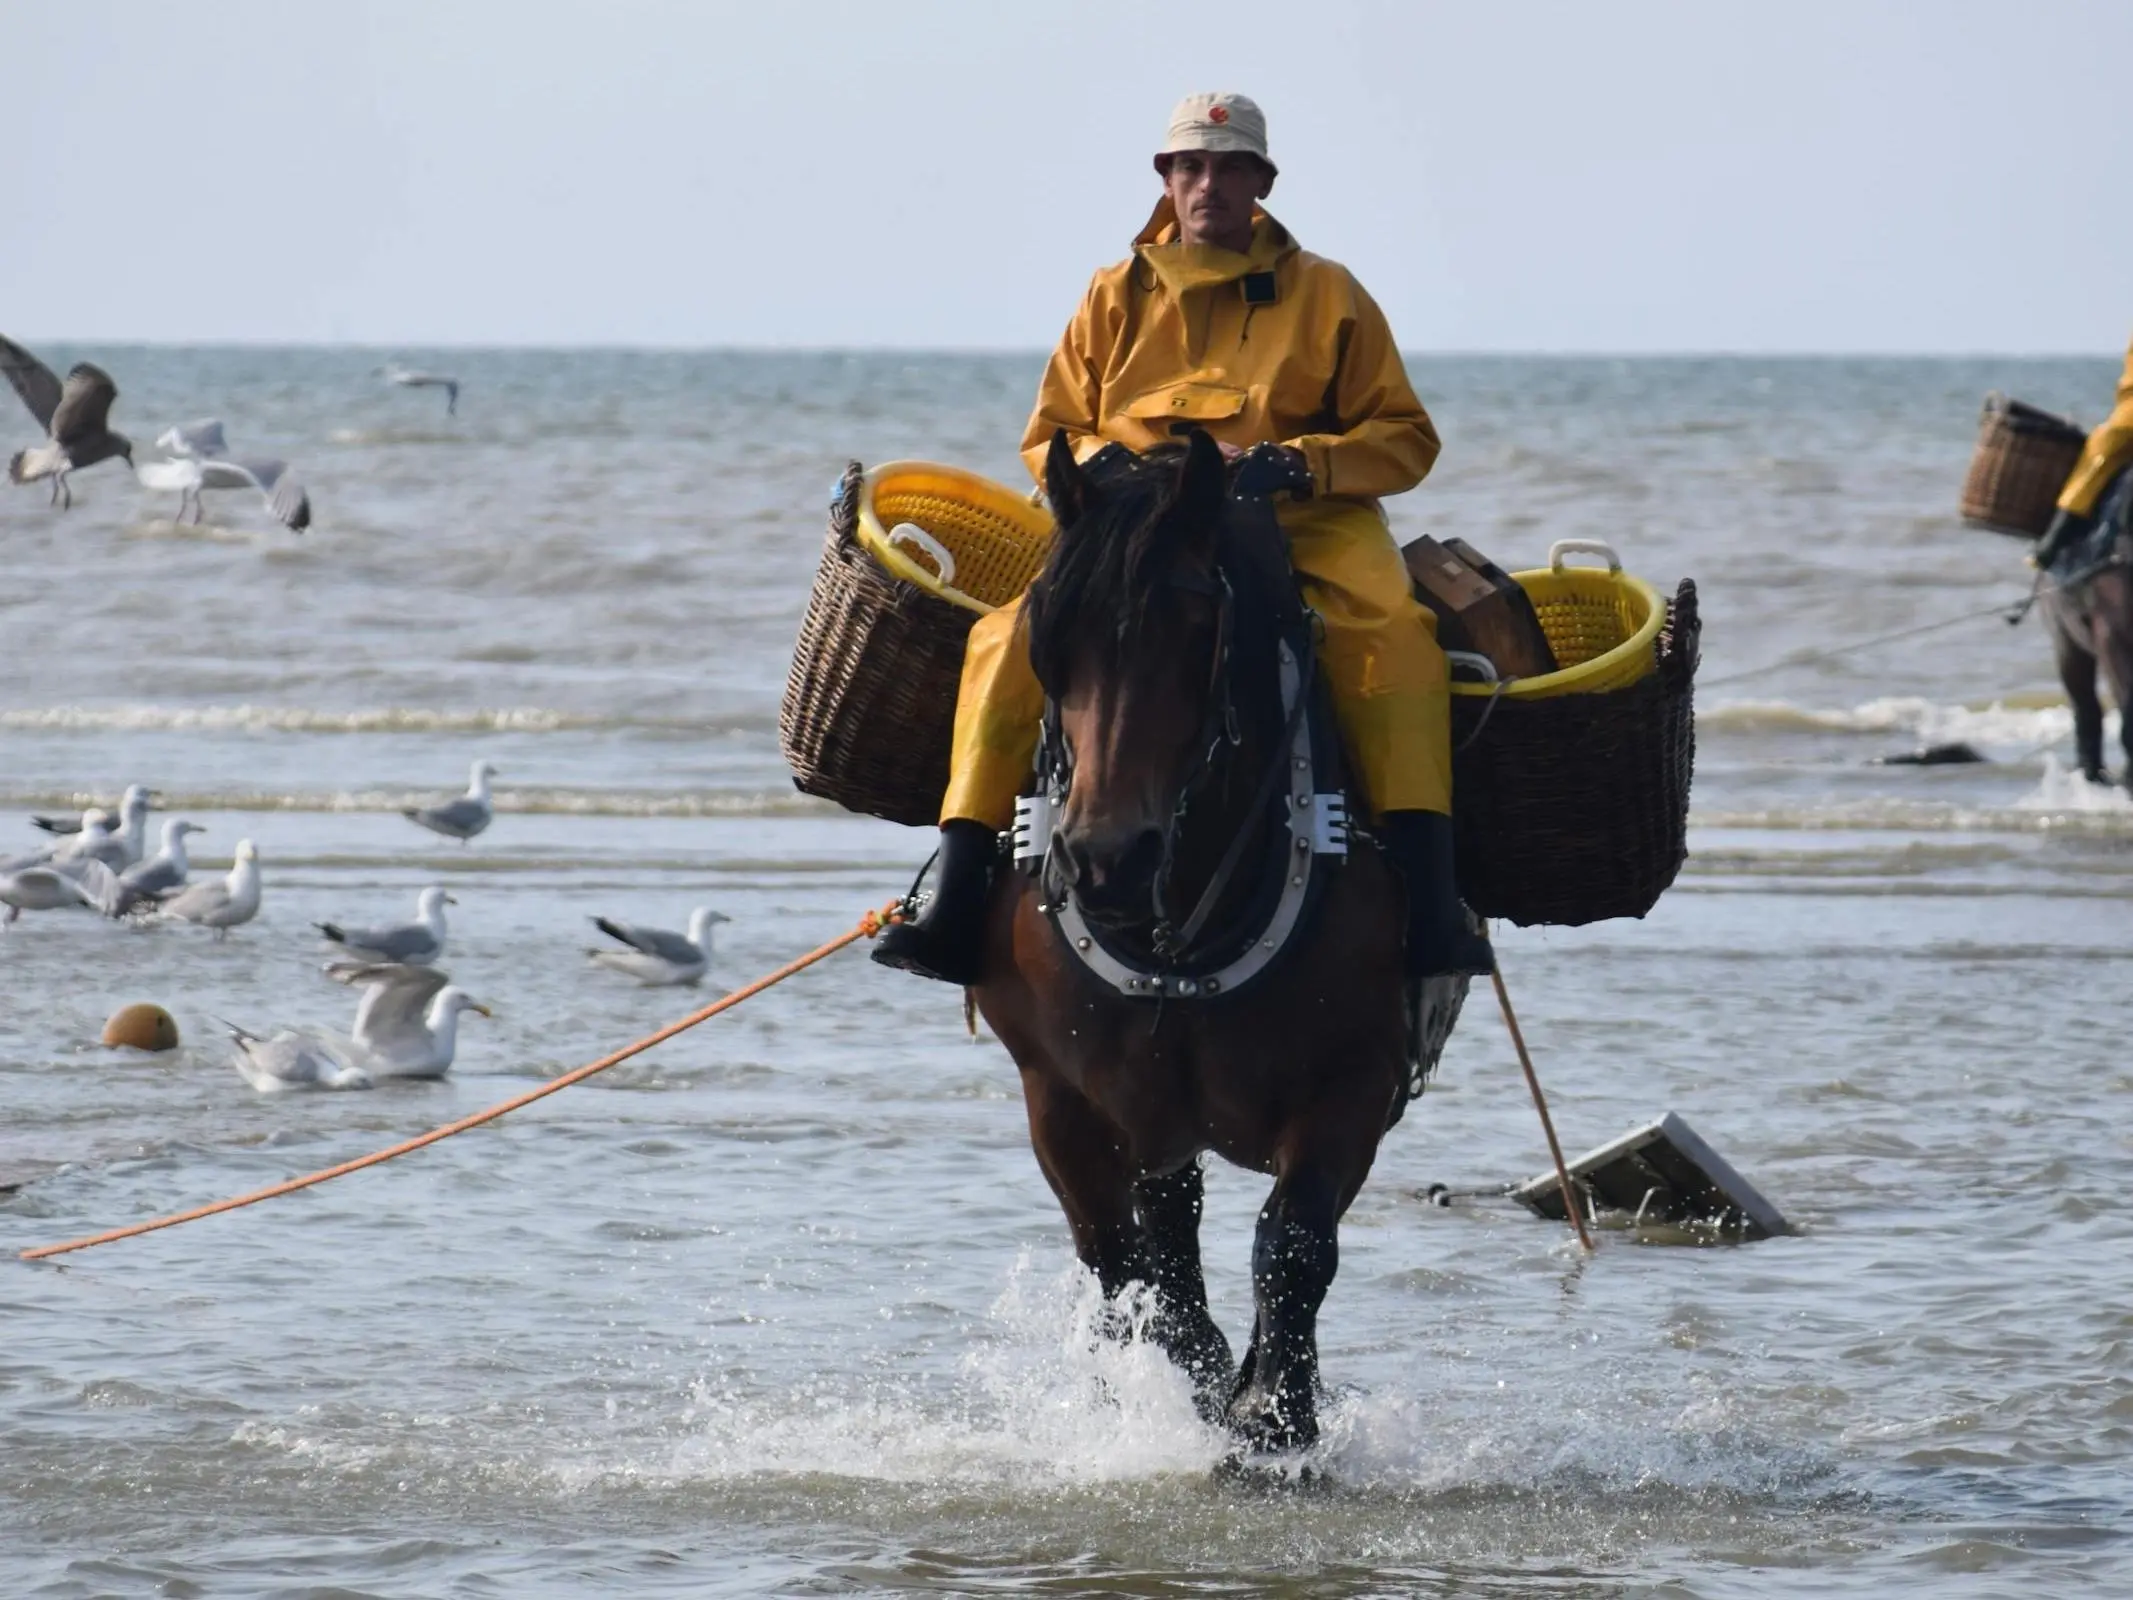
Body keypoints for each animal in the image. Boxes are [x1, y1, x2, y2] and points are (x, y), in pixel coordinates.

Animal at [972, 433, 1450, 1459]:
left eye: (1197, 633)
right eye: (1050, 642)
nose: (1105, 858)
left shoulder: (1354, 1082)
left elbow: (1293, 1245)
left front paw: (1272, 1416)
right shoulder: (1059, 1096)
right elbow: (1126, 1269)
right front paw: (1186, 1390)